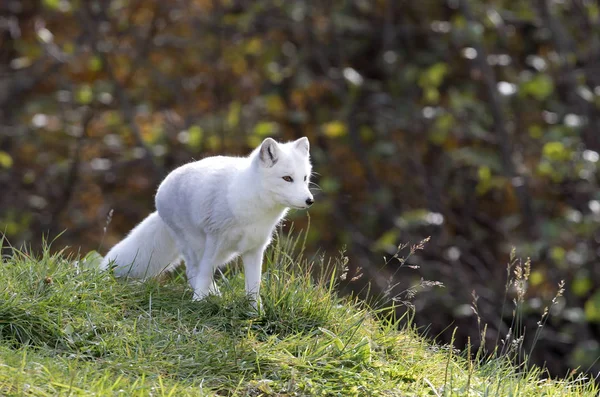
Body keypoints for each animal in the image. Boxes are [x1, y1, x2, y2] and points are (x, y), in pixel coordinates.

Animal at [99, 136, 314, 306]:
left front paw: (255, 311)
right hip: (196, 245)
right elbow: (204, 274)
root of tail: (161, 191)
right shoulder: (214, 239)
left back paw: (216, 295)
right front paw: (198, 302)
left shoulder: (255, 248)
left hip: (224, 254)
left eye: (305, 178)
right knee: (193, 270)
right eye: (287, 178)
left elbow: (254, 285)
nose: (309, 200)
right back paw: (208, 296)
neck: (253, 205)